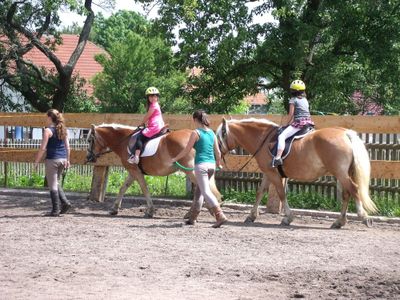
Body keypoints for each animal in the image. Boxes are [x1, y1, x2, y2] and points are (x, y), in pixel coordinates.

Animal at [85, 123, 220, 217]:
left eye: (90, 140)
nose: (88, 157)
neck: (125, 141)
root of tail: (196, 136)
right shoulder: (132, 172)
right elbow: (123, 188)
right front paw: (114, 209)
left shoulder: (135, 171)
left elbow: (144, 188)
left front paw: (150, 211)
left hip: (190, 170)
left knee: (203, 188)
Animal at [216, 117, 376, 227]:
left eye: (219, 137)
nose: (217, 153)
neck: (263, 139)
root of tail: (345, 133)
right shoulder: (268, 173)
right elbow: (260, 192)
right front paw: (251, 216)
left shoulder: (274, 174)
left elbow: (281, 193)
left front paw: (288, 217)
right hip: (343, 173)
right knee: (347, 194)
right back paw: (339, 221)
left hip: (340, 173)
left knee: (353, 189)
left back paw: (363, 217)